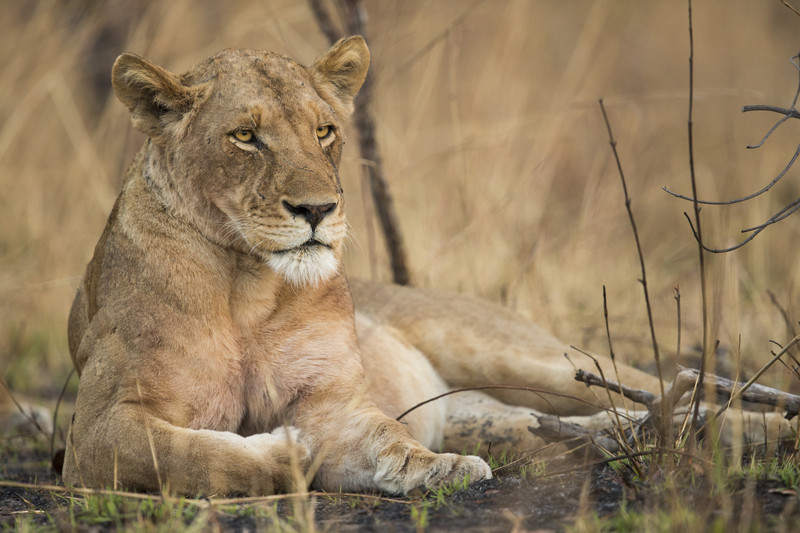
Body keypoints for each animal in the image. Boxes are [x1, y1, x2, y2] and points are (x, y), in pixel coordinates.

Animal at [64, 36, 794, 497]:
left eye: (324, 131)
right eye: (246, 136)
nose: (317, 209)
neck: (249, 283)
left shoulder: (334, 402)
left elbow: (385, 435)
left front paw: (436, 468)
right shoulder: (95, 429)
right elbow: (185, 454)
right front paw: (286, 454)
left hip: (524, 355)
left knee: (677, 387)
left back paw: (763, 430)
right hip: (495, 407)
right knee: (603, 421)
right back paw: (663, 434)